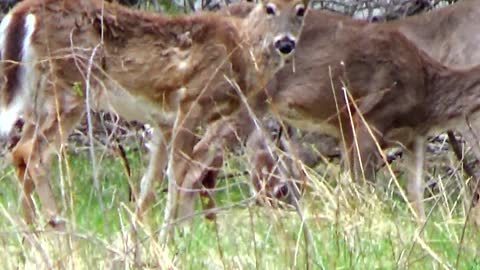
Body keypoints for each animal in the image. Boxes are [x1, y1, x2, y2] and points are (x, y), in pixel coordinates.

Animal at [0, 0, 308, 228]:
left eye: (301, 9)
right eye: (269, 7)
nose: (285, 43)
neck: (240, 53)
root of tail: (23, 11)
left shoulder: (162, 122)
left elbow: (150, 184)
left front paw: (141, 239)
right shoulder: (191, 102)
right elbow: (179, 175)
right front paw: (172, 234)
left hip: (37, 99)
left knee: (20, 152)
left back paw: (30, 231)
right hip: (69, 88)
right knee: (32, 153)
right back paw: (57, 226)